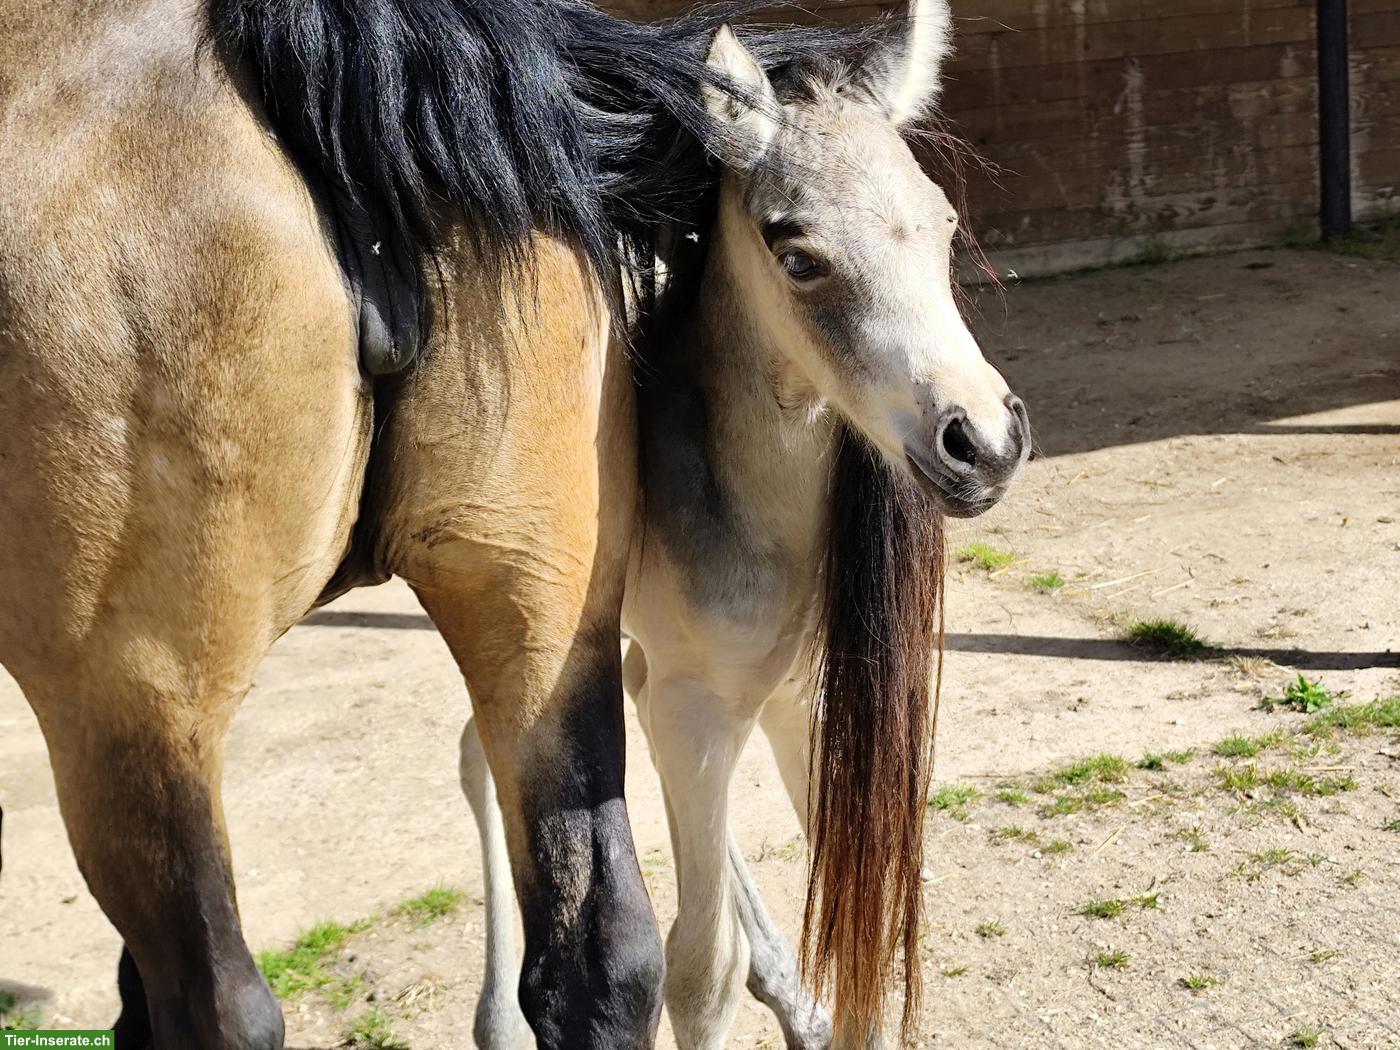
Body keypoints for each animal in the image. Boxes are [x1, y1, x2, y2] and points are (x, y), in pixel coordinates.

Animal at [459, 9, 1029, 1049]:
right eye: (797, 255)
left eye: (943, 224)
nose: (984, 442)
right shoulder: (695, 704)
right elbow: (699, 969)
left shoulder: (797, 694)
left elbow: (854, 921)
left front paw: (815, 992)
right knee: (483, 753)